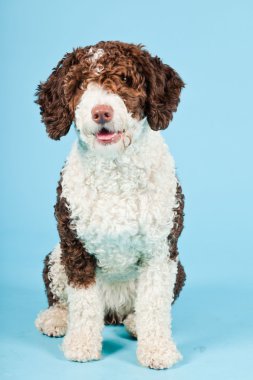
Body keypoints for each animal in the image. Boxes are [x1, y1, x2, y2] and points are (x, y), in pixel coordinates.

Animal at [34, 40, 186, 368]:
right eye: (79, 85)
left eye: (126, 80)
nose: (101, 112)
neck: (115, 169)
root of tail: (114, 313)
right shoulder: (75, 248)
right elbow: (83, 304)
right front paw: (81, 344)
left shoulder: (160, 250)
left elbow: (155, 304)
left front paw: (157, 349)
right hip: (56, 257)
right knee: (61, 299)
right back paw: (56, 318)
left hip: (178, 268)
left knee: (145, 307)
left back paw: (134, 322)